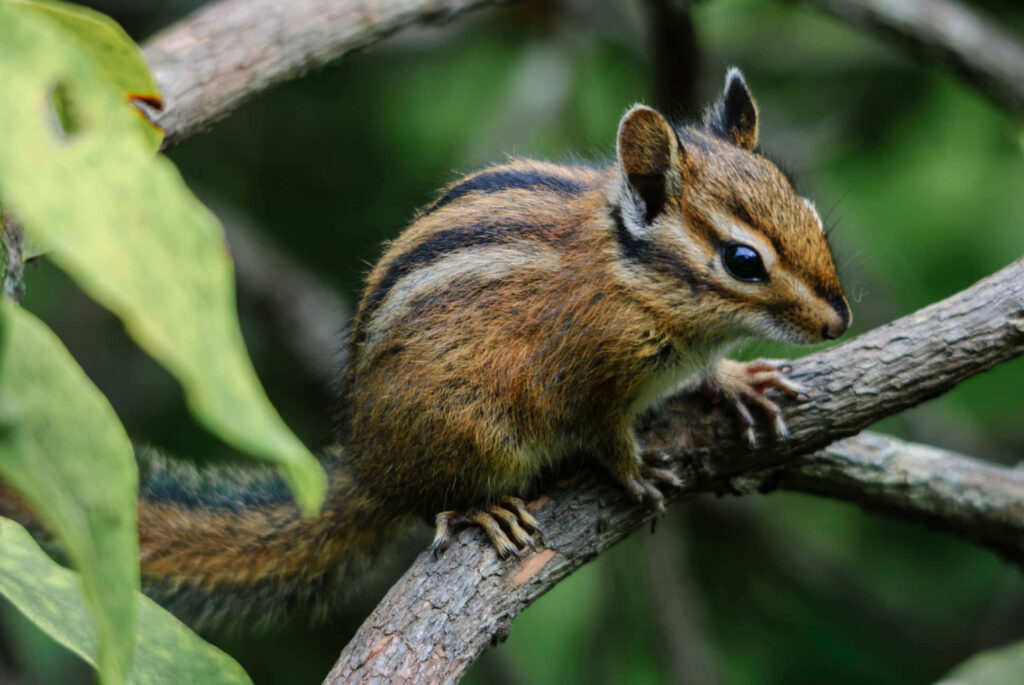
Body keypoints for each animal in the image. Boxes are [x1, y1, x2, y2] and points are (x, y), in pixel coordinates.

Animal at [0, 69, 849, 629]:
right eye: (744, 261)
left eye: (811, 214)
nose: (839, 320)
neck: (632, 277)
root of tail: (367, 459)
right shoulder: (589, 375)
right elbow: (606, 434)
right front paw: (637, 471)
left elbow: (708, 373)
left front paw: (737, 379)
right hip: (472, 428)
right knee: (431, 497)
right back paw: (481, 509)